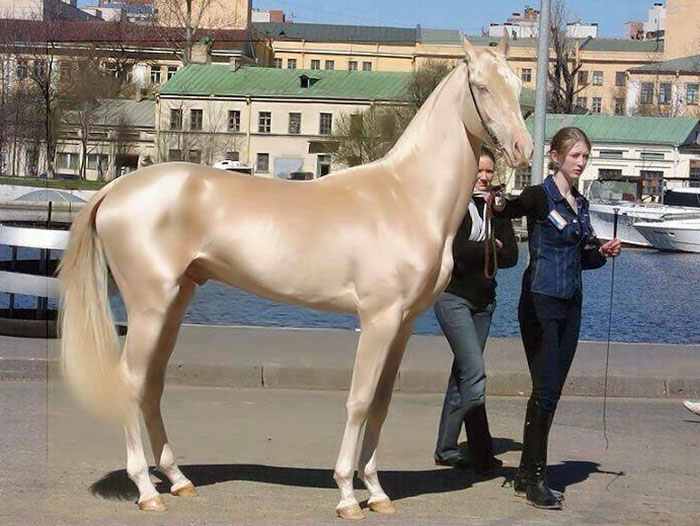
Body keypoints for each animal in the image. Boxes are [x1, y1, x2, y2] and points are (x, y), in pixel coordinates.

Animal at [58, 34, 532, 519]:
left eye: (516, 85)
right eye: (482, 86)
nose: (523, 149)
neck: (406, 196)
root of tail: (115, 189)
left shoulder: (403, 324)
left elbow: (381, 403)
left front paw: (377, 491)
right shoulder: (378, 319)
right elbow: (359, 401)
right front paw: (347, 495)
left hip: (174, 304)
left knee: (151, 384)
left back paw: (177, 480)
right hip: (149, 307)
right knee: (130, 383)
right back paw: (146, 490)